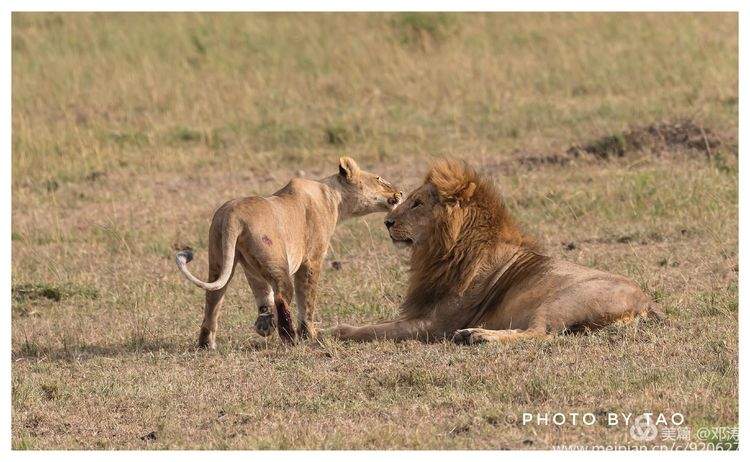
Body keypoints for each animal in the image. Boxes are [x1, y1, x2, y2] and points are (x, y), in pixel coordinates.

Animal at [176, 157, 402, 348]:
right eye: (379, 179)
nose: (400, 193)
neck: (333, 197)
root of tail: (233, 216)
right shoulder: (311, 259)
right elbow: (307, 298)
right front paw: (309, 333)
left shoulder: (251, 268)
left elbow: (262, 293)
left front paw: (264, 325)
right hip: (276, 261)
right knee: (282, 296)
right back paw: (290, 339)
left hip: (222, 257)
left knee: (214, 298)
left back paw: (208, 343)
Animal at [332, 159, 660, 342]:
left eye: (417, 203)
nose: (387, 223)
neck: (439, 252)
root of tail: (646, 303)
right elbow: (381, 324)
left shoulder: (438, 324)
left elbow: (376, 330)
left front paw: (333, 332)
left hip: (561, 300)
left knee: (539, 334)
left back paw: (476, 336)